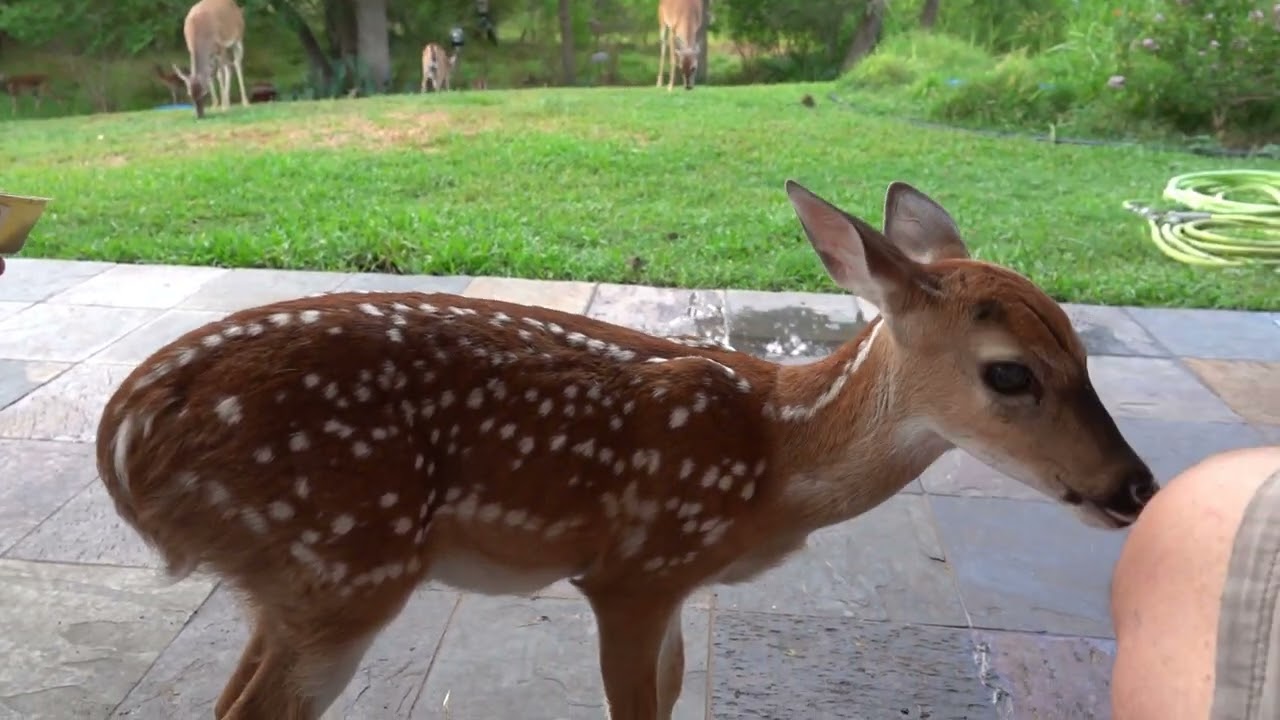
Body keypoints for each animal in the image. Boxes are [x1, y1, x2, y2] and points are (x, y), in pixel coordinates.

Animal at [94, 179, 1160, 719]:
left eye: (1081, 345)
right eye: (1010, 374)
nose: (1137, 487)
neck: (772, 462)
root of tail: (128, 435)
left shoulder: (675, 587)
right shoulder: (633, 570)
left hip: (290, 582)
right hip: (345, 560)